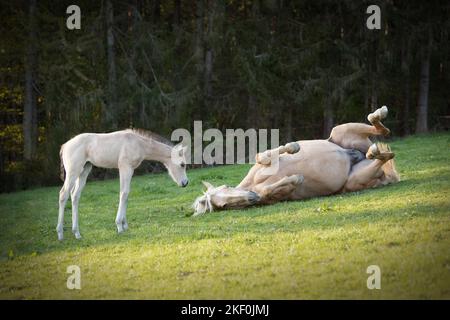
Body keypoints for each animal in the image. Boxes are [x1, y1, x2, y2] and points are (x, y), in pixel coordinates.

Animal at [57, 128, 188, 240]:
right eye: (182, 164)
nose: (185, 183)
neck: (138, 143)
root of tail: (65, 145)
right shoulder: (125, 167)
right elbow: (124, 193)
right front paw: (119, 226)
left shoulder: (130, 169)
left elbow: (126, 194)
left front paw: (125, 225)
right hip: (73, 171)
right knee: (63, 194)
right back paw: (60, 234)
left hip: (85, 169)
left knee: (75, 195)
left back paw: (77, 233)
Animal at [193, 105, 400, 215]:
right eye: (224, 205)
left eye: (227, 187)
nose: (252, 198)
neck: (253, 184)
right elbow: (272, 189)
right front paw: (295, 179)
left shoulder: (263, 162)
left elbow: (265, 155)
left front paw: (293, 148)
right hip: (355, 179)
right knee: (385, 155)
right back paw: (372, 152)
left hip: (341, 131)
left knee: (381, 129)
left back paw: (379, 115)